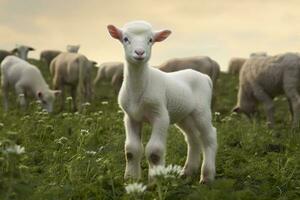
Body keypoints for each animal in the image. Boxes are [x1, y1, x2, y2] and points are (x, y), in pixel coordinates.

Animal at [108, 20, 218, 183]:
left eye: (150, 40)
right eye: (125, 39)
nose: (139, 52)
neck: (139, 89)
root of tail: (205, 77)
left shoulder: (160, 115)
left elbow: (154, 151)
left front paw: (155, 180)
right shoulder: (131, 117)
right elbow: (131, 150)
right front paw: (131, 179)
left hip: (201, 111)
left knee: (209, 136)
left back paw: (207, 177)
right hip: (184, 115)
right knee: (193, 138)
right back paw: (187, 172)